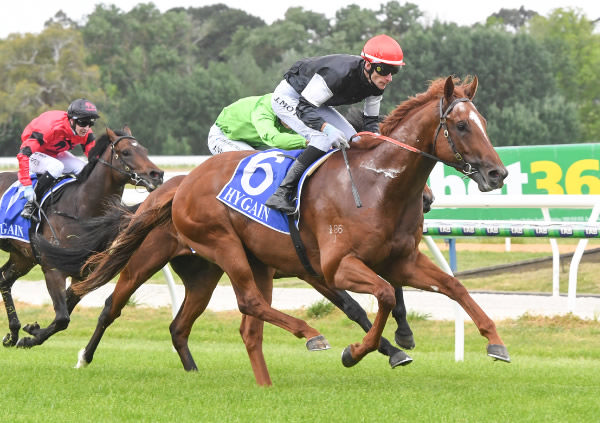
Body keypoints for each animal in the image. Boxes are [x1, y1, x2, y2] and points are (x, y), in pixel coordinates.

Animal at [0, 128, 164, 348]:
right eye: (126, 152)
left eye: (145, 150)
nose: (157, 175)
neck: (81, 208)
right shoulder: (53, 269)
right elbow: (63, 317)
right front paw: (31, 335)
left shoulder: (82, 274)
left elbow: (63, 317)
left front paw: (31, 334)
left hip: (23, 257)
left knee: (4, 280)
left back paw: (13, 333)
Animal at [70, 75, 508, 384]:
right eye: (461, 126)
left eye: (485, 123)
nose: (497, 174)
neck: (376, 184)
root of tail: (182, 183)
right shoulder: (330, 267)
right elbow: (377, 298)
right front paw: (362, 350)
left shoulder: (401, 260)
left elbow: (451, 286)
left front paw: (495, 342)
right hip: (205, 248)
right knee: (127, 305)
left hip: (216, 269)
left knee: (220, 323)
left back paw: (246, 378)